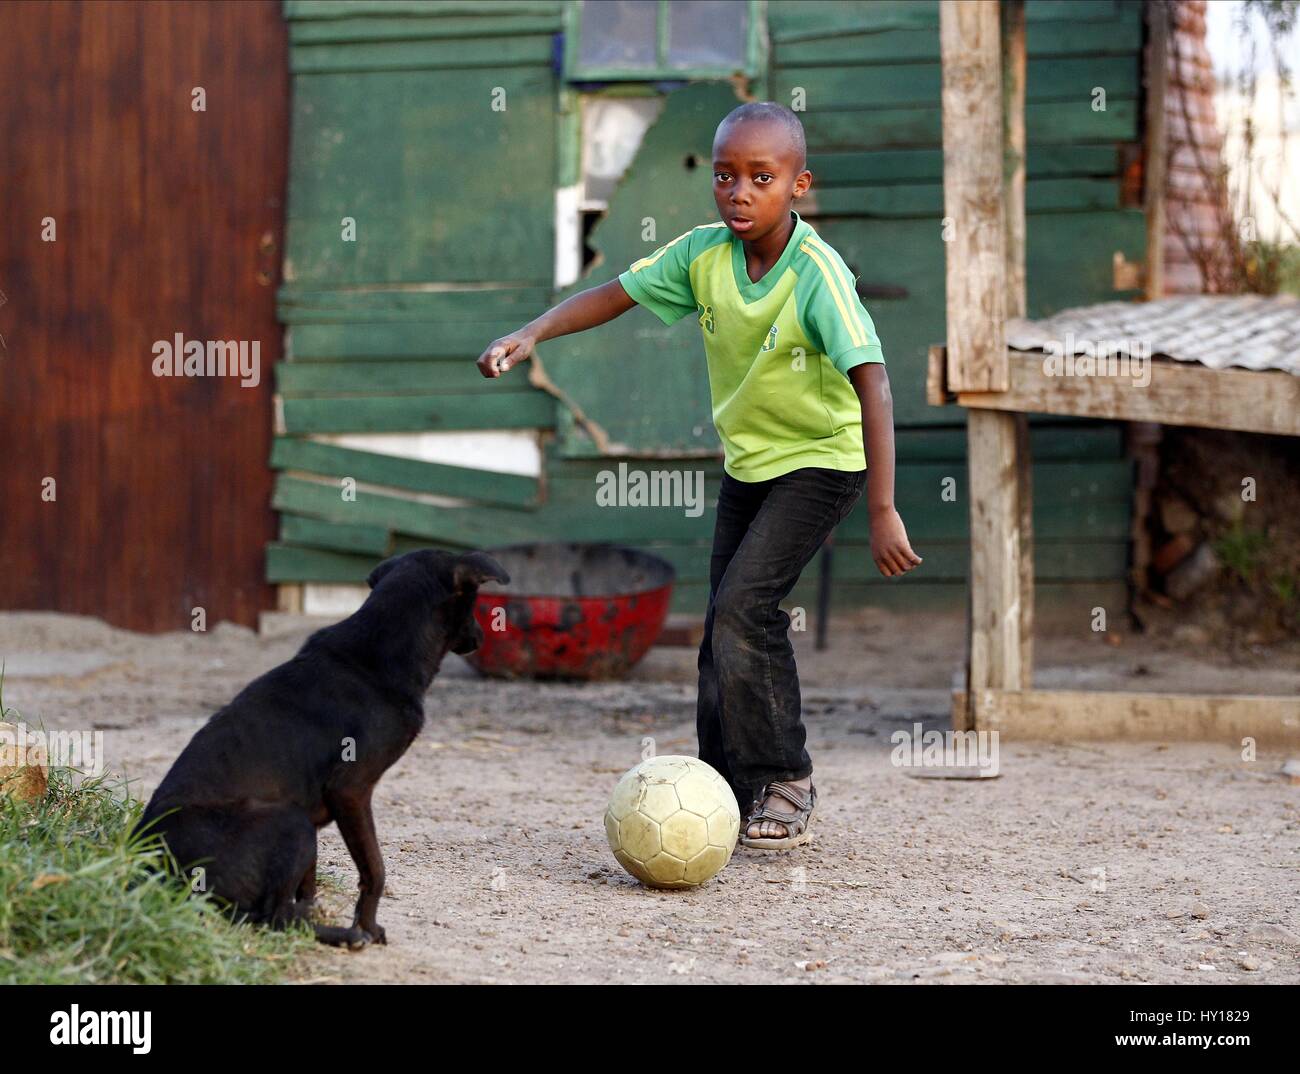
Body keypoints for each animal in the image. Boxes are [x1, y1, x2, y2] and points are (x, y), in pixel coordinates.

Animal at [139, 548, 506, 941]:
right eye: (475, 604)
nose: (481, 636)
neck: (379, 651)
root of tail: (154, 870)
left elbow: (310, 885)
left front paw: (323, 912)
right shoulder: (351, 791)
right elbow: (374, 870)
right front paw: (367, 927)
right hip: (291, 821)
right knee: (273, 919)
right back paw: (345, 937)